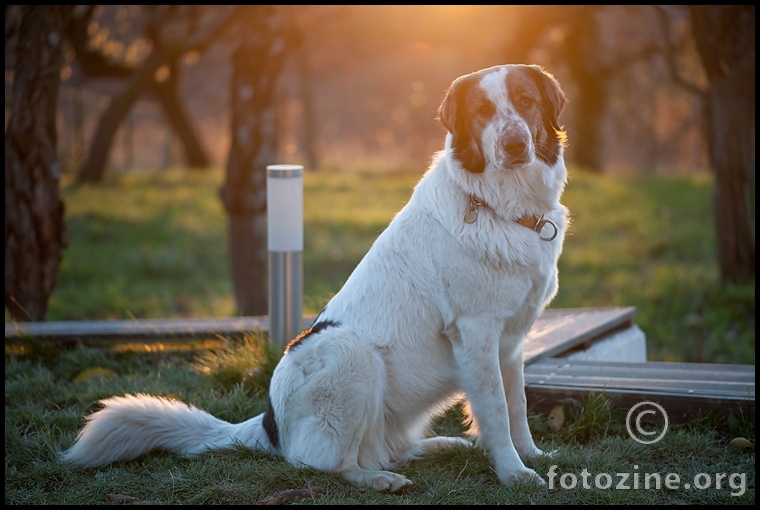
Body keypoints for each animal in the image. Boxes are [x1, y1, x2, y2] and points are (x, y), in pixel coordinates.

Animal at [59, 61, 568, 492]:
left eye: (525, 101)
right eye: (483, 111)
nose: (514, 144)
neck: (504, 209)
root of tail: (269, 425)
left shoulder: (511, 341)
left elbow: (517, 405)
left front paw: (531, 456)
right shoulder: (477, 334)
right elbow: (496, 410)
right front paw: (512, 472)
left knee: (386, 448)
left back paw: (436, 446)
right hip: (349, 350)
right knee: (324, 462)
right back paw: (377, 480)